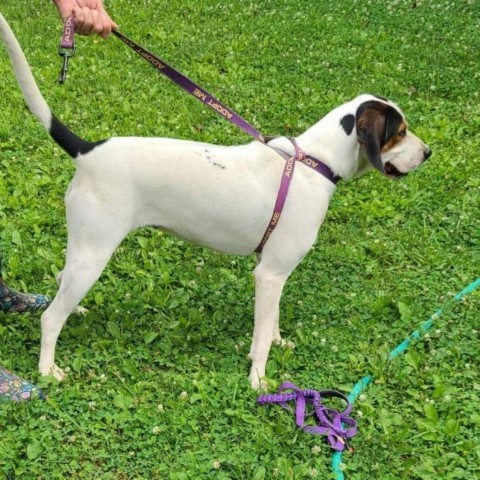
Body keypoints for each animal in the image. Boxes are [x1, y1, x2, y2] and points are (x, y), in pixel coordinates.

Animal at [0, 14, 430, 390]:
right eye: (400, 132)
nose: (427, 153)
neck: (313, 162)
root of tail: (87, 151)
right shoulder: (269, 274)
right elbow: (260, 338)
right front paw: (259, 381)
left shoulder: (274, 270)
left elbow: (271, 322)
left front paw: (278, 344)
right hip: (94, 252)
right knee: (50, 318)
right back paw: (47, 369)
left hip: (85, 248)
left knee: (61, 282)